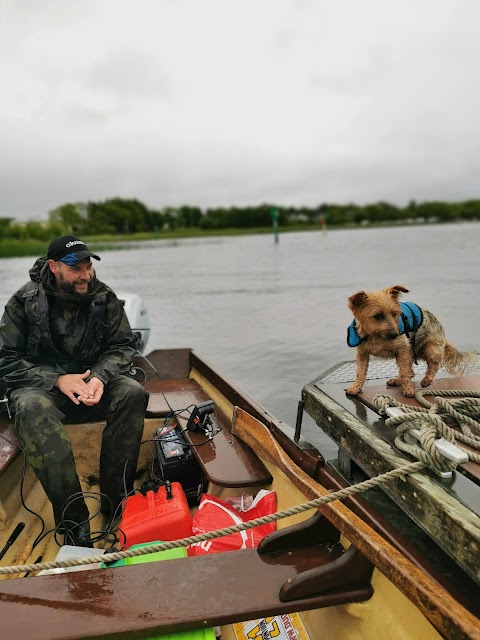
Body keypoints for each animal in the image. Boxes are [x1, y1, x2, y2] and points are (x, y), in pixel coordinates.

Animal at [344, 284, 476, 396]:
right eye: (378, 316)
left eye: (395, 314)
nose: (395, 334)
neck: (376, 336)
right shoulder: (362, 354)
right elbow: (360, 373)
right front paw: (355, 387)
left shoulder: (403, 350)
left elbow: (405, 372)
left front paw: (408, 389)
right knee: (411, 370)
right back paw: (397, 380)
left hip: (430, 348)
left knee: (433, 365)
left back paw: (426, 380)